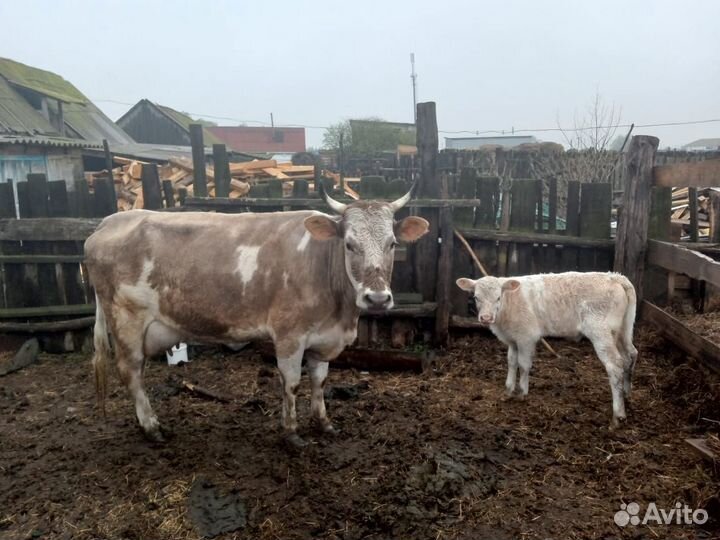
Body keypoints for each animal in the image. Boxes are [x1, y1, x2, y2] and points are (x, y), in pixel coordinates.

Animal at [85, 187, 429, 447]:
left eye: (392, 243)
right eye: (349, 244)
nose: (377, 298)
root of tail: (108, 222)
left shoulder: (323, 339)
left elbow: (319, 380)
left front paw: (323, 423)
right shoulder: (289, 334)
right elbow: (292, 383)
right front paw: (291, 433)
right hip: (127, 321)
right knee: (131, 373)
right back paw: (152, 427)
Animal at [456, 272, 638, 428]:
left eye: (498, 297)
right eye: (476, 297)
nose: (486, 318)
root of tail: (615, 277)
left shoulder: (526, 336)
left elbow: (523, 364)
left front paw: (522, 392)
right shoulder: (513, 339)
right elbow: (511, 362)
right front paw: (508, 389)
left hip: (601, 331)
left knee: (614, 365)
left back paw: (618, 415)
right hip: (622, 331)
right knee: (630, 355)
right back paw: (626, 394)